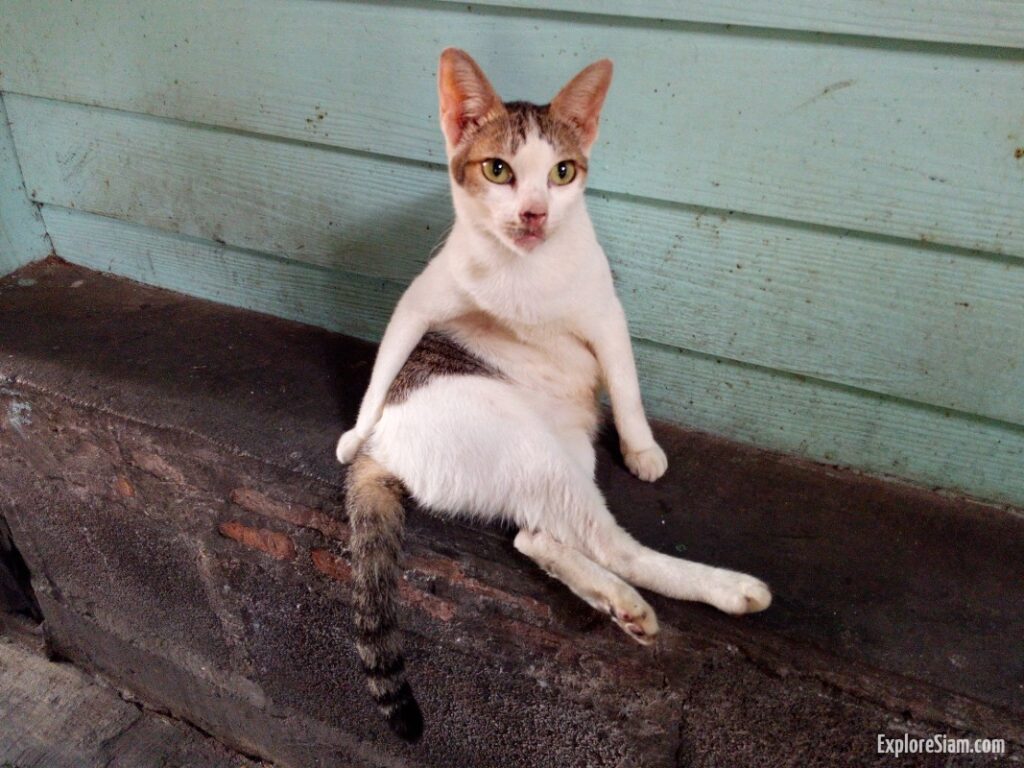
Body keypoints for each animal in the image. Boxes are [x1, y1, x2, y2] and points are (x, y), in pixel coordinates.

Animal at [333, 46, 770, 741]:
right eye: (499, 170)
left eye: (562, 173)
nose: (536, 213)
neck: (527, 277)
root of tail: (387, 451)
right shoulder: (422, 297)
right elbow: (385, 358)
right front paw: (350, 429)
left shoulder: (606, 316)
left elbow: (627, 388)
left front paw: (641, 449)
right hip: (528, 450)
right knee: (611, 544)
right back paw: (715, 590)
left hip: (567, 453)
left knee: (536, 537)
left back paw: (619, 606)